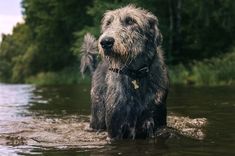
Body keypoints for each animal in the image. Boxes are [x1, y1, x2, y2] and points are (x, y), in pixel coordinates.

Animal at [81, 4, 169, 140]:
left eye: (130, 21)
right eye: (108, 23)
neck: (135, 74)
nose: (105, 42)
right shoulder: (115, 127)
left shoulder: (157, 121)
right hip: (97, 113)